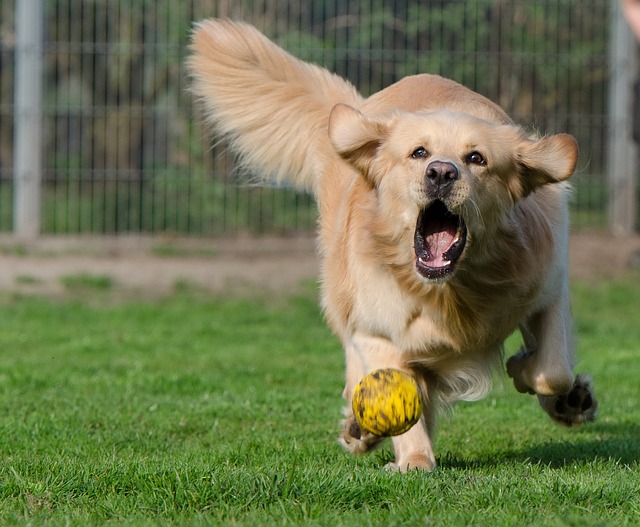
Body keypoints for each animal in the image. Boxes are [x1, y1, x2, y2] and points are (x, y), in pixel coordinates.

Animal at [188, 18, 596, 472]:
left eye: (477, 158)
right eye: (419, 153)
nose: (441, 172)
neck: (449, 292)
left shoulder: (548, 286)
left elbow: (553, 369)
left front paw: (534, 375)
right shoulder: (377, 329)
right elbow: (400, 391)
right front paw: (414, 460)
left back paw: (571, 402)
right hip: (341, 292)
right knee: (355, 360)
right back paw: (361, 428)